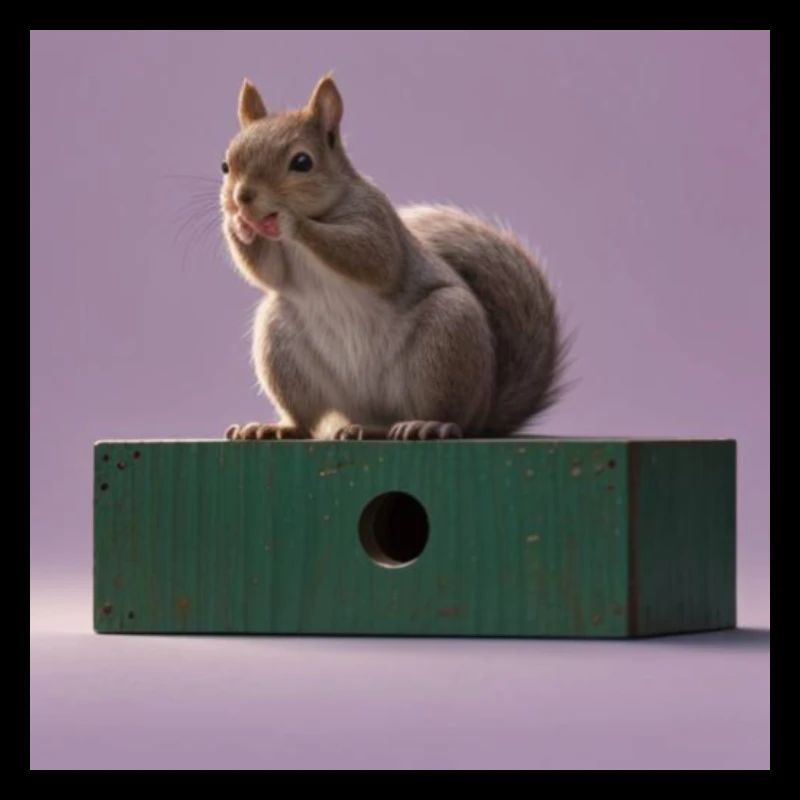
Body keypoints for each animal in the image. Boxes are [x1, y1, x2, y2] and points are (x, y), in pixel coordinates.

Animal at [221, 75, 568, 441]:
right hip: (281, 343)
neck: (326, 210)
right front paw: (237, 225)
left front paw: (289, 220)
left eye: (302, 162)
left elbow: (371, 257)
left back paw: (426, 423)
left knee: (449, 415)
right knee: (309, 419)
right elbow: (267, 272)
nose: (242, 198)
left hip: (446, 340)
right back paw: (283, 427)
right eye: (225, 165)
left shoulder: (377, 222)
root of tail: (485, 411)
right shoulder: (280, 263)